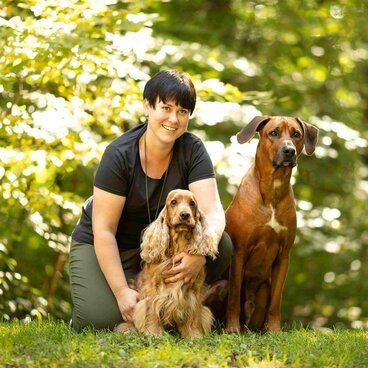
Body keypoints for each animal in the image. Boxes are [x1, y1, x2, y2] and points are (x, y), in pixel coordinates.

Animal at [226, 115, 318, 334]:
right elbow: (233, 298)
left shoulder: (283, 256)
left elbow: (276, 301)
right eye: (273, 133)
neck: (273, 189)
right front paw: (232, 329)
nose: (289, 150)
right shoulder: (239, 252)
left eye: (296, 134)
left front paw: (275, 330)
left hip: (263, 291)